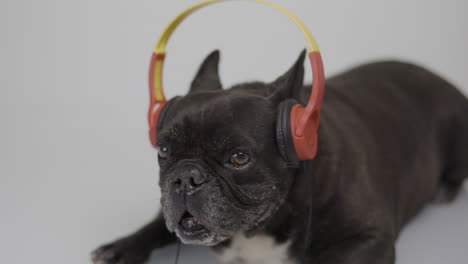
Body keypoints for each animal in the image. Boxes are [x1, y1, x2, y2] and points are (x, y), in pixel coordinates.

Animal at [92, 50, 468, 262]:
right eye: (164, 150)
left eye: (239, 157)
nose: (186, 178)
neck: (261, 225)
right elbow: (158, 223)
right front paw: (121, 247)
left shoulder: (369, 239)